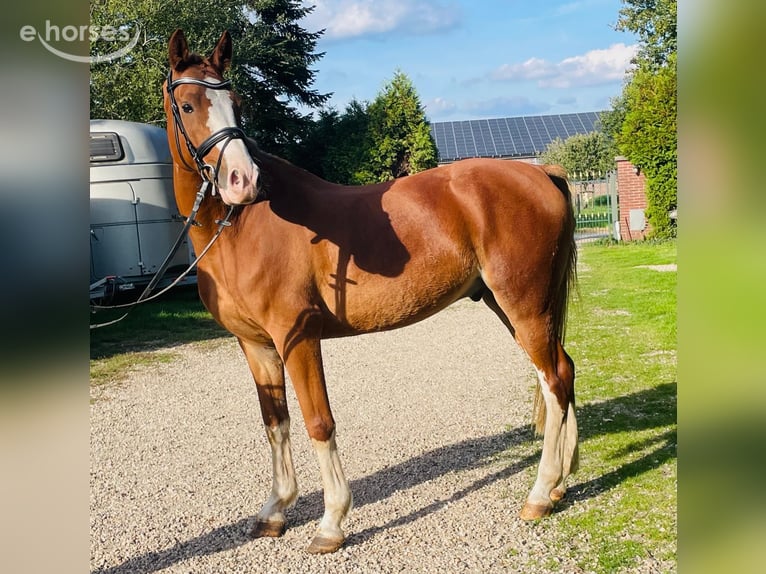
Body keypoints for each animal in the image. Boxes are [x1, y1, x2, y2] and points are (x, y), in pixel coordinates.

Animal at [163, 29, 579, 554]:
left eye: (236, 104)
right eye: (189, 105)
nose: (243, 180)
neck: (245, 226)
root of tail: (542, 172)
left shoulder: (297, 339)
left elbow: (318, 421)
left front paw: (331, 523)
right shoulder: (256, 345)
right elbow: (275, 423)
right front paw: (275, 511)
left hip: (524, 306)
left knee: (554, 380)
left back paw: (540, 494)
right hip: (517, 307)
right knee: (564, 370)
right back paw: (563, 481)